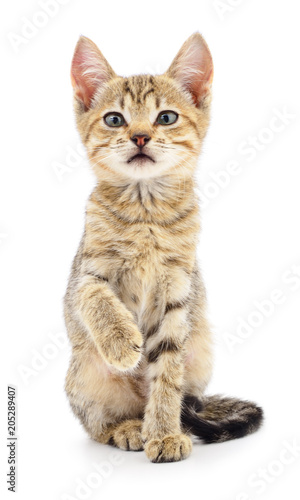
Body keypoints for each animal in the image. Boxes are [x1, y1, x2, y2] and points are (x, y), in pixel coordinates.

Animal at [63, 31, 262, 462]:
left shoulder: (177, 290)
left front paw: (165, 433)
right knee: (98, 426)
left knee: (184, 398)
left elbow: (167, 374)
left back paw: (160, 425)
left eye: (166, 117)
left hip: (200, 355)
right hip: (83, 376)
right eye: (114, 119)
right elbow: (96, 299)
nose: (140, 136)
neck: (146, 214)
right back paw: (128, 428)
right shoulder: (84, 275)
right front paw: (122, 343)